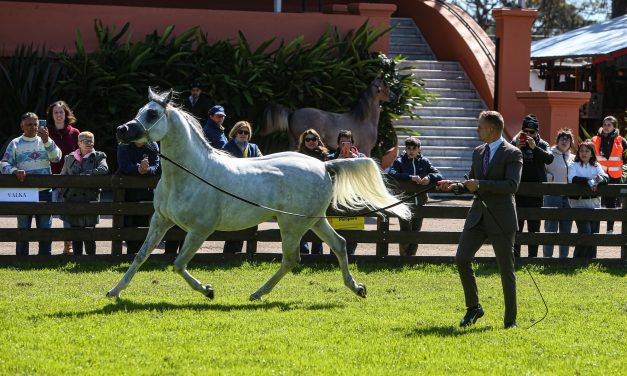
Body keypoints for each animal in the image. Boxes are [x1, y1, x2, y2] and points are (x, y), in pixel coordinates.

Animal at [108, 87, 412, 300]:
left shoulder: (199, 230)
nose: (121, 130)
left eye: (152, 114)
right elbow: (140, 255)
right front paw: (114, 292)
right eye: (140, 110)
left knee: (292, 258)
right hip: (313, 221)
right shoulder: (160, 221)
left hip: (291, 225)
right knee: (338, 244)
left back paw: (258, 293)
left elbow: (179, 264)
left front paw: (208, 290)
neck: (191, 173)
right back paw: (357, 288)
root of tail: (325, 164)